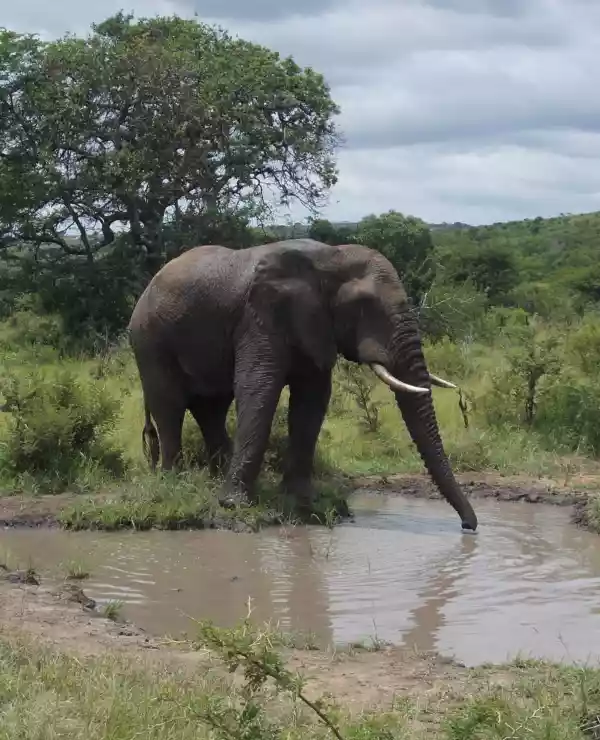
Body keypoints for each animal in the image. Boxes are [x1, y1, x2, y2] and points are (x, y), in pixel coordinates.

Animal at [127, 237, 478, 532]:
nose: (469, 526)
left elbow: (312, 400)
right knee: (170, 407)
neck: (329, 257)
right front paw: (235, 505)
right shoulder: (260, 317)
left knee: (211, 408)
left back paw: (215, 478)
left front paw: (301, 504)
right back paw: (174, 483)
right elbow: (258, 389)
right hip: (149, 341)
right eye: (364, 305)